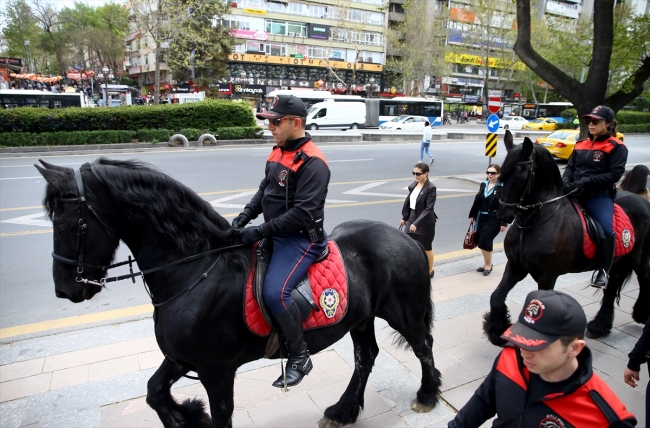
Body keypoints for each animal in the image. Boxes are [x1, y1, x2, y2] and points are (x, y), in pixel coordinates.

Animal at [35, 158, 440, 428]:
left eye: (67, 223)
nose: (64, 289)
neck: (195, 269)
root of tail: (406, 236)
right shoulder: (181, 357)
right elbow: (154, 391)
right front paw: (187, 415)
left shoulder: (215, 370)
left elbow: (220, 415)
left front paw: (192, 415)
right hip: (360, 317)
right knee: (365, 357)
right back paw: (343, 411)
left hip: (403, 313)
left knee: (423, 347)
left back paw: (427, 394)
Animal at [480, 130, 648, 344]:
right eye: (502, 173)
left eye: (522, 173)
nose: (503, 214)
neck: (531, 222)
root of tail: (642, 201)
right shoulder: (516, 267)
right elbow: (496, 297)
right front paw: (497, 331)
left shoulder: (547, 276)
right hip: (620, 260)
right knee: (611, 287)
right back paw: (599, 326)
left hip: (638, 258)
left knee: (645, 278)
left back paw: (641, 314)